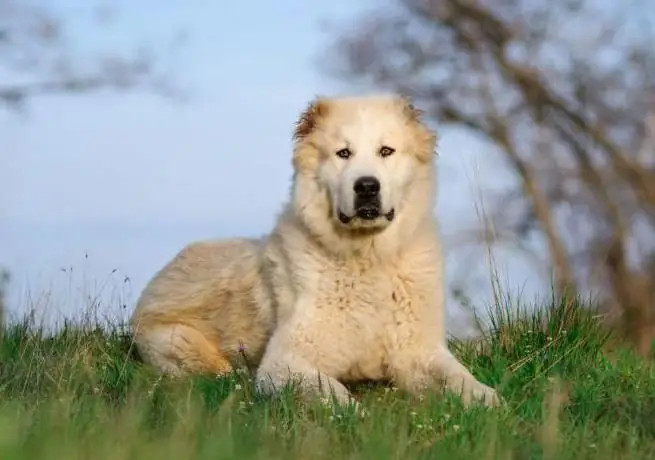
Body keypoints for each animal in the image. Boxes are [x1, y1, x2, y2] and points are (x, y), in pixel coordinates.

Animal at [133, 92, 502, 406]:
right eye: (343, 153)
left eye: (386, 151)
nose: (366, 187)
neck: (367, 258)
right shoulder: (286, 361)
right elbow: (331, 391)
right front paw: (352, 415)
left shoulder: (420, 352)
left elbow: (462, 380)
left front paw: (489, 402)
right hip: (183, 346)